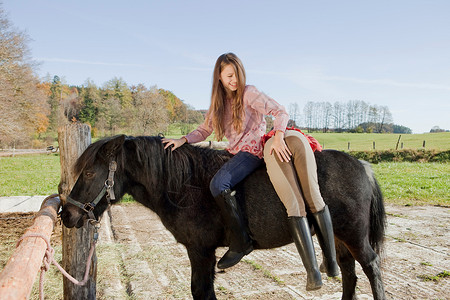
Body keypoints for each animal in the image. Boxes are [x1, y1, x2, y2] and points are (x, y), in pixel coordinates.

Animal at [61, 135, 386, 298]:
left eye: (88, 173)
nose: (67, 214)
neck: (185, 184)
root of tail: (362, 165)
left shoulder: (201, 251)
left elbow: (201, 291)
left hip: (355, 236)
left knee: (371, 268)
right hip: (338, 237)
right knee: (349, 274)